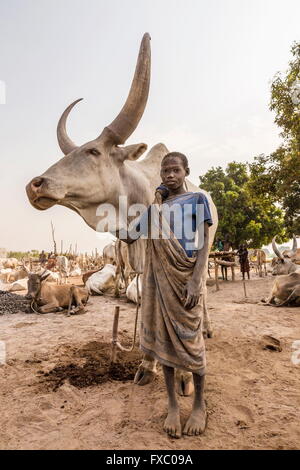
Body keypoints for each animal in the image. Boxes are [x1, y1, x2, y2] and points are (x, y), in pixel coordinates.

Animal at [25, 33, 218, 392]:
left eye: (93, 151)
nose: (35, 185)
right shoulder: (141, 262)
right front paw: (147, 365)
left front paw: (184, 375)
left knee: (200, 292)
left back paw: (207, 331)